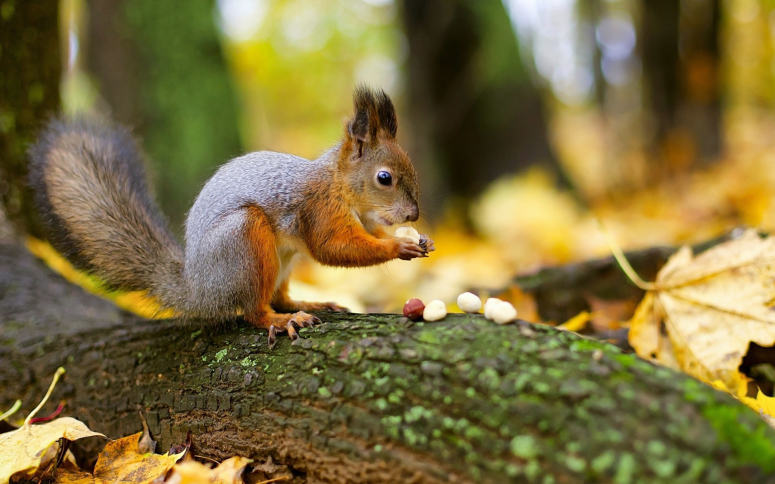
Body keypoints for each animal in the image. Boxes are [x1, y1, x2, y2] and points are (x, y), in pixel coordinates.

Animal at [27, 86, 434, 344]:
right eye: (384, 178)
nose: (414, 214)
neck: (343, 187)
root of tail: (198, 291)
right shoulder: (320, 209)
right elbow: (333, 248)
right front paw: (398, 247)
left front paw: (417, 240)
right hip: (245, 241)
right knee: (253, 310)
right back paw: (282, 319)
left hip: (281, 260)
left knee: (279, 296)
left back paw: (306, 304)